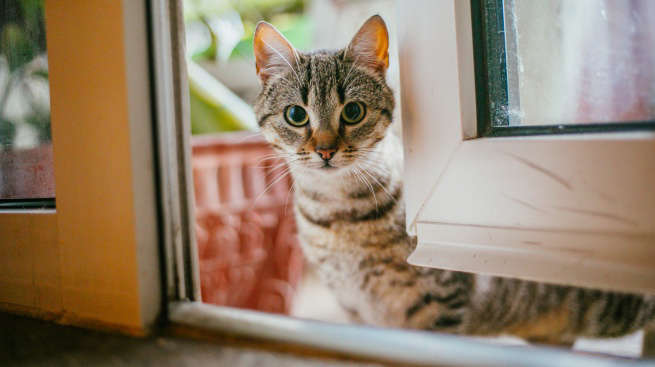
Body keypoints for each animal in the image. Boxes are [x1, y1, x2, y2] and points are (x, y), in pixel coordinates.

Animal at [251, 15, 655, 346]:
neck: (340, 216)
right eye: (296, 115)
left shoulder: (438, 305)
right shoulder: (357, 309)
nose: (325, 150)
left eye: (352, 111)